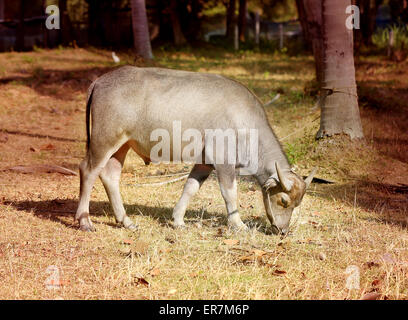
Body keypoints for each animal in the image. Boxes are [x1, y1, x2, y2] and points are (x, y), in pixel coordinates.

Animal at [77, 65, 318, 235]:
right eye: (283, 201)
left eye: (297, 204)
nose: (283, 231)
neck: (244, 122)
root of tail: (99, 81)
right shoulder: (224, 162)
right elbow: (229, 193)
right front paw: (238, 224)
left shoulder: (204, 163)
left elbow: (190, 188)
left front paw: (177, 220)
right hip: (104, 139)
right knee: (88, 170)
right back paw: (84, 220)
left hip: (122, 145)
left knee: (110, 176)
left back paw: (125, 221)